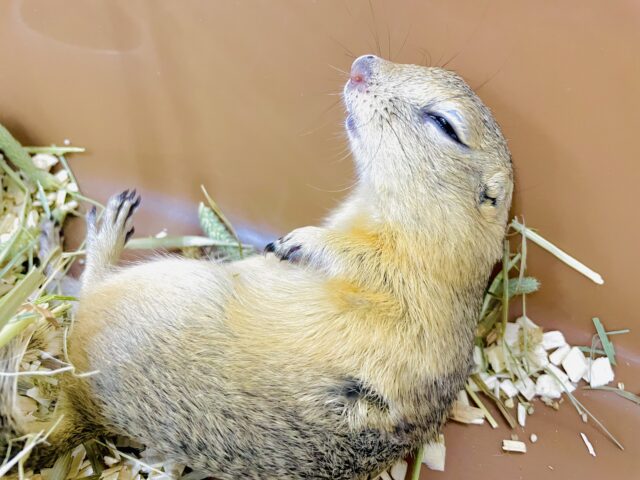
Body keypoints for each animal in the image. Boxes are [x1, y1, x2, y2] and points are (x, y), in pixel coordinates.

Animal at [3, 55, 516, 476]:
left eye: (445, 124)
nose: (360, 65)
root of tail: (82, 405)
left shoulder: (395, 272)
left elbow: (350, 257)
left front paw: (295, 242)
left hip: (147, 288)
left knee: (88, 289)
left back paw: (105, 229)